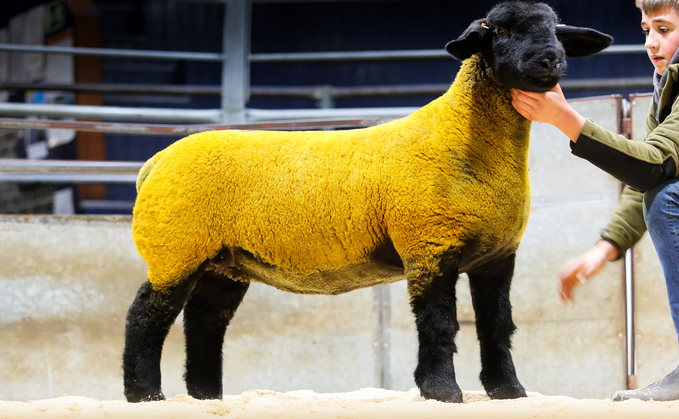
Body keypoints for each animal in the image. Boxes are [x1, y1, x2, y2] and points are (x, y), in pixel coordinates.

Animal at [123, 2, 612, 404]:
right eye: (502, 29)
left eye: (554, 29)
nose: (550, 60)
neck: (463, 136)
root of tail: (154, 163)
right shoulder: (428, 246)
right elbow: (439, 323)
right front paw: (442, 392)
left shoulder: (497, 256)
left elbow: (497, 325)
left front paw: (508, 391)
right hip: (175, 249)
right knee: (146, 317)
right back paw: (145, 395)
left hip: (225, 261)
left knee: (205, 321)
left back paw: (206, 396)